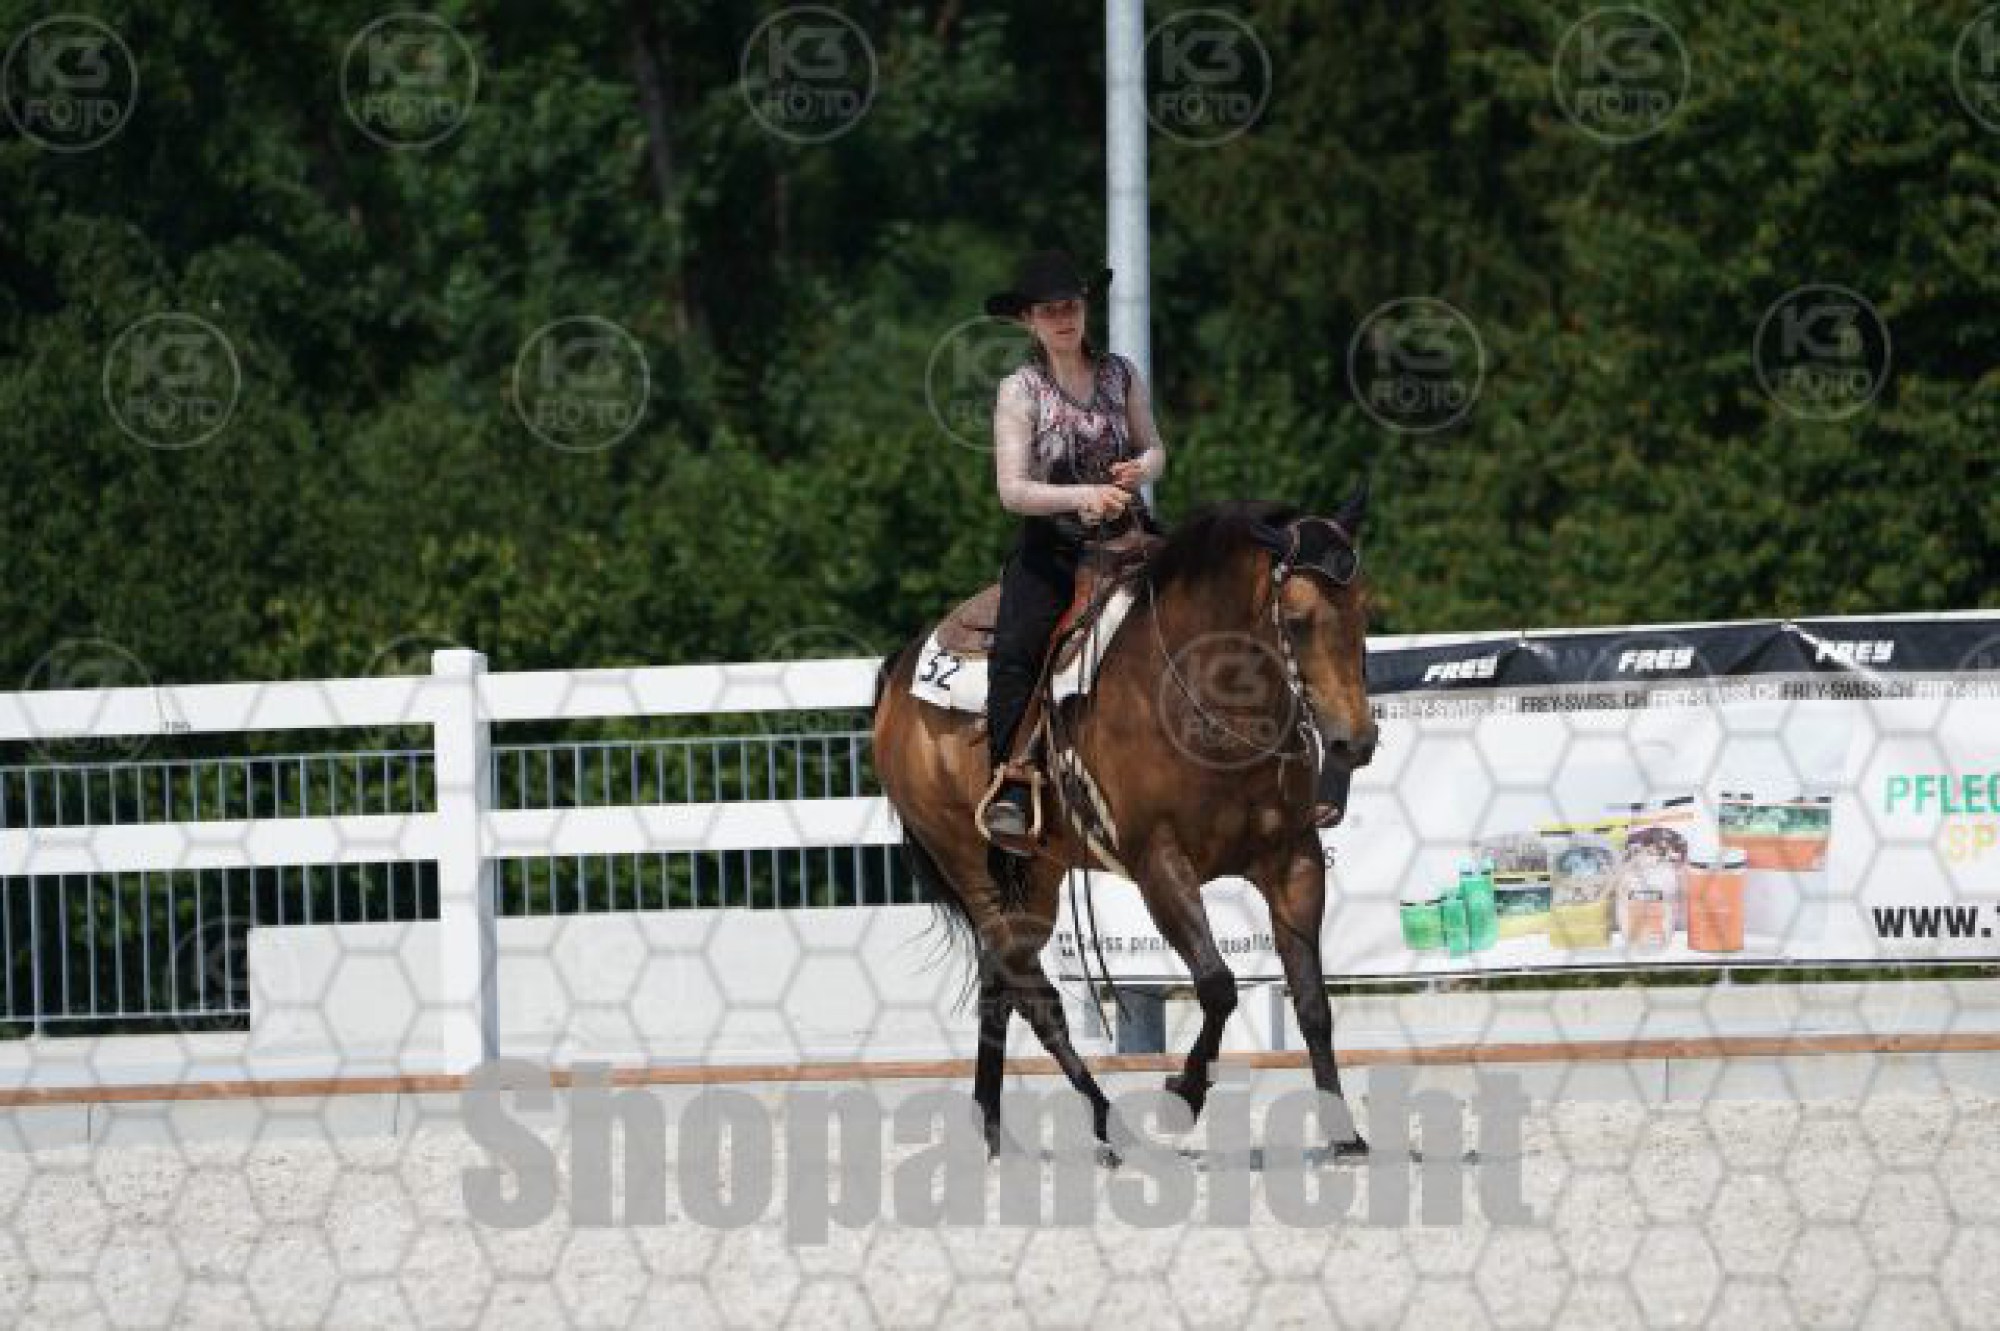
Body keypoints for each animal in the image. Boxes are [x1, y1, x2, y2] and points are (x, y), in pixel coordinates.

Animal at [870, 491, 1378, 1161]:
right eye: (1295, 618)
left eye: (1363, 609)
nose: (1355, 742)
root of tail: (898, 672)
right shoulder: (1158, 861)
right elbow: (1217, 985)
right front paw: (1182, 1095)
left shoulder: (1293, 857)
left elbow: (1314, 1002)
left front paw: (1345, 1134)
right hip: (967, 861)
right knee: (1034, 995)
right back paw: (1110, 1123)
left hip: (1034, 873)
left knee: (1000, 985)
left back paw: (995, 1130)